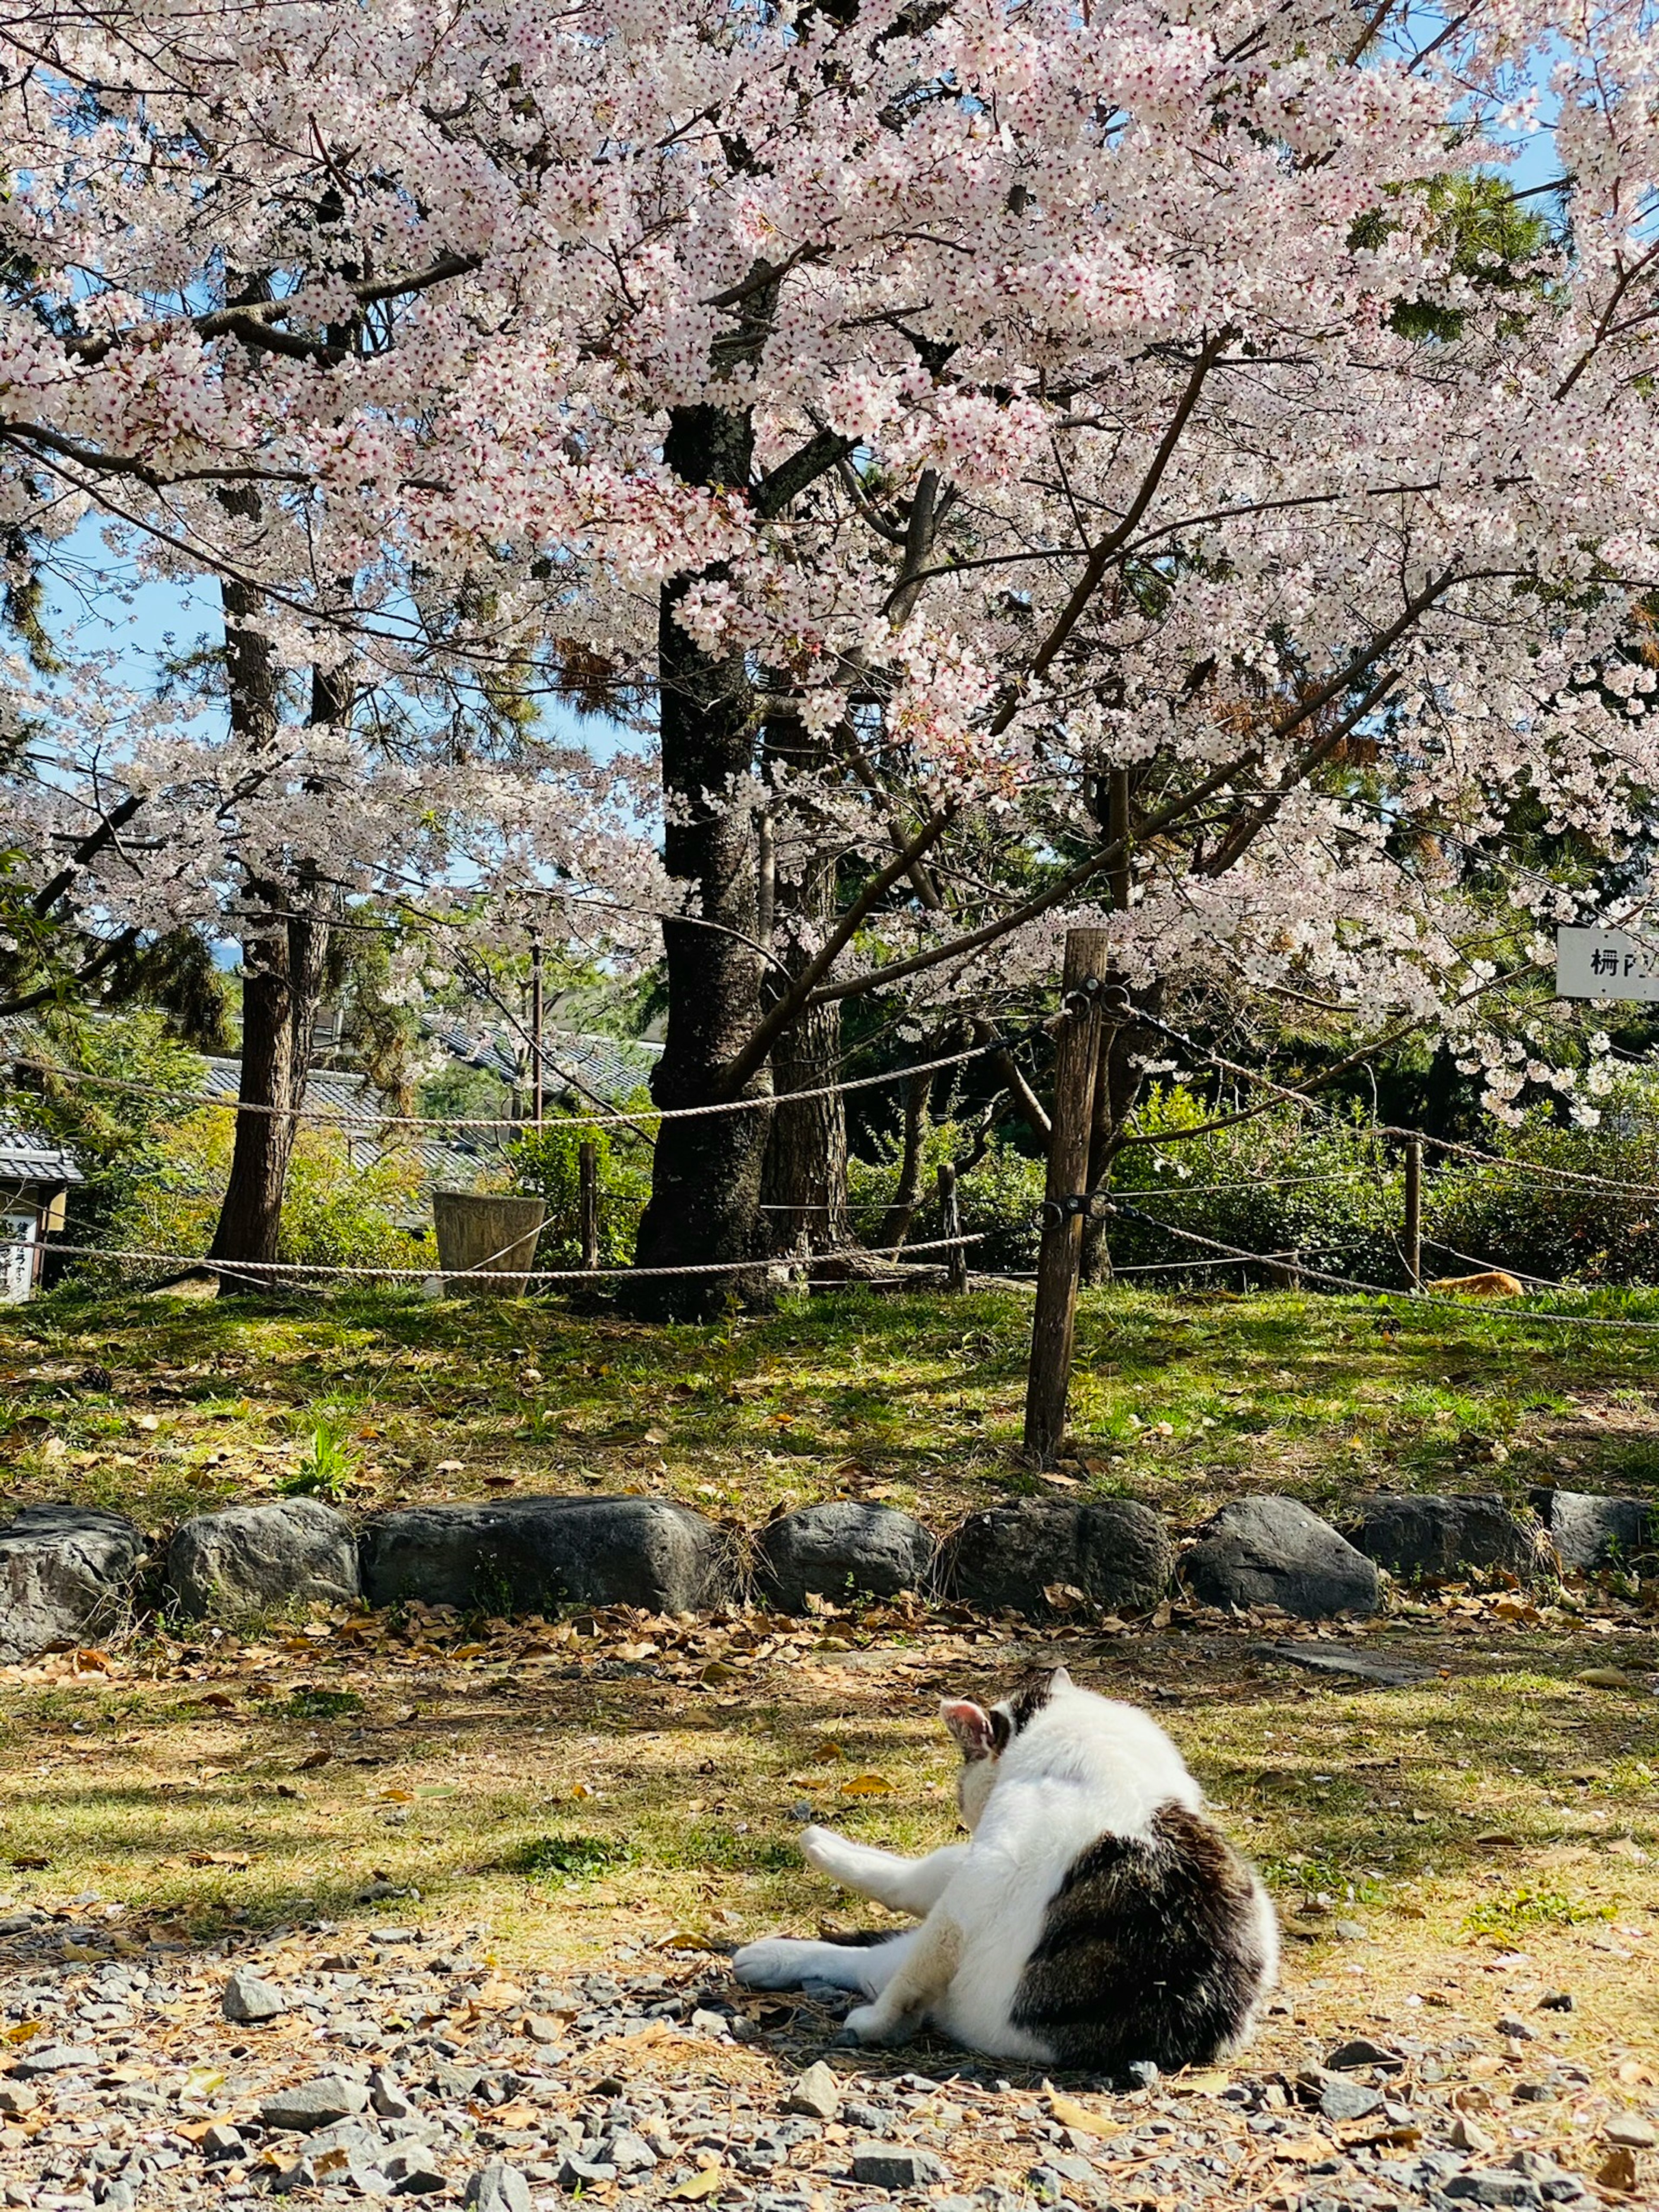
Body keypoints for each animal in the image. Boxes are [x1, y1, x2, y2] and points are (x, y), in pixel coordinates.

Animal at [734, 1672, 1283, 2070]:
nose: (963, 1803)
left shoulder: (986, 1876)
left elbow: (909, 1977)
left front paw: (874, 2025)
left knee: (876, 1961)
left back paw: (771, 1952)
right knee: (922, 1878)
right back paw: (822, 1846)